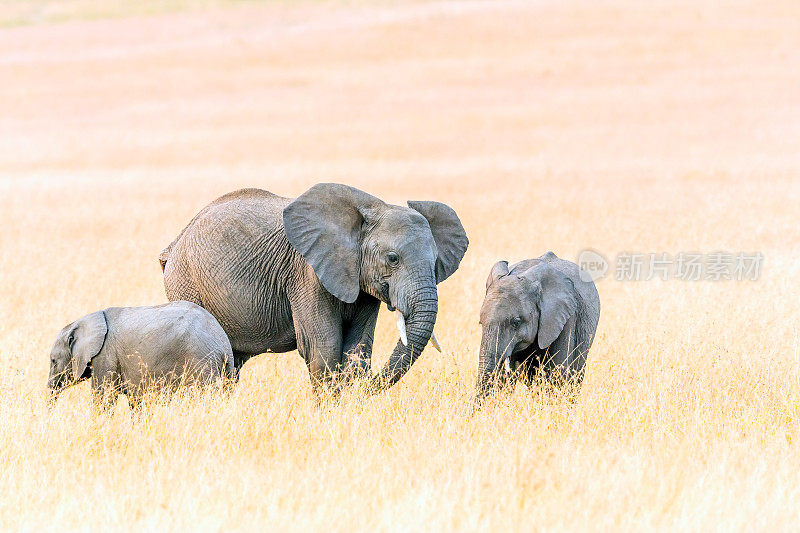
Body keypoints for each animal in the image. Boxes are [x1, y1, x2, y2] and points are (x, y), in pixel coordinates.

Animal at [48, 300, 233, 408]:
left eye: (53, 361)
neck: (84, 321)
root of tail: (223, 343)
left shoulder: (105, 355)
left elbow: (104, 397)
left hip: (201, 360)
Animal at [159, 183, 468, 390]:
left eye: (436, 262)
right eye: (393, 259)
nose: (368, 387)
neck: (372, 209)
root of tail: (174, 244)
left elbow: (357, 350)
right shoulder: (306, 272)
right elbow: (325, 349)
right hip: (186, 280)